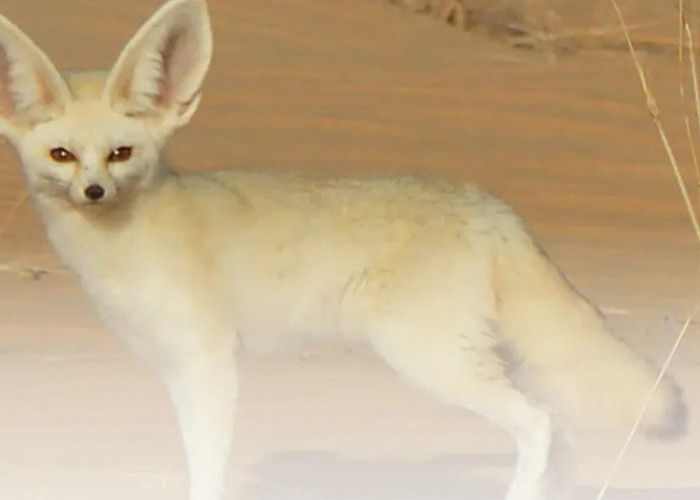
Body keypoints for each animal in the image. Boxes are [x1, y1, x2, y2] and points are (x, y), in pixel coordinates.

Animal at [0, 0, 687, 499]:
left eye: (120, 153)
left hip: (435, 360)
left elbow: (207, 467)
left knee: (540, 425)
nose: (94, 191)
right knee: (558, 431)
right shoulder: (174, 368)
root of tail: (492, 205)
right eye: (63, 155)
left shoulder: (208, 365)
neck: (127, 241)